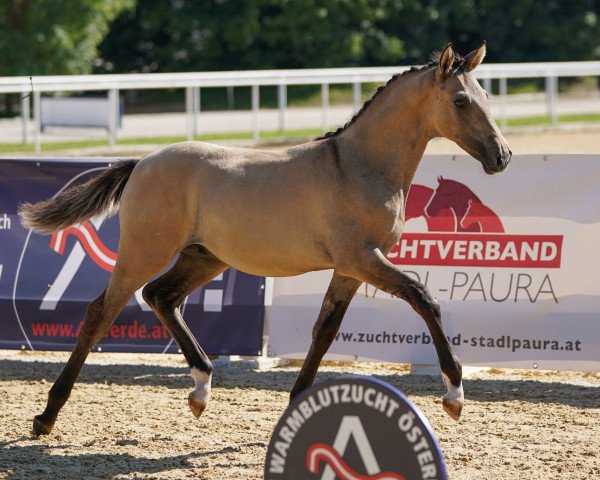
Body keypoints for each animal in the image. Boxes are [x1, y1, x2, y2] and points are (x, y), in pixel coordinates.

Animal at [21, 42, 512, 436]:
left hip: (205, 257)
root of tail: (141, 163)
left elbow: (324, 331)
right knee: (101, 311)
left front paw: (297, 407)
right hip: (146, 251)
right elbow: (423, 297)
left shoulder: (349, 269)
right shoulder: (364, 258)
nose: (502, 157)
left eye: (487, 97)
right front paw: (454, 394)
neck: (359, 166)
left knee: (160, 296)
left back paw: (201, 388)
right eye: (462, 101)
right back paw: (46, 416)